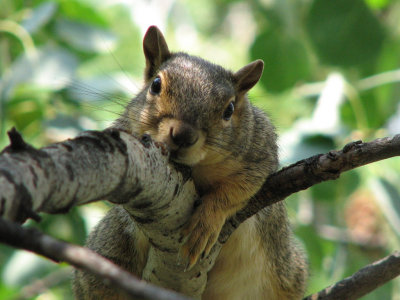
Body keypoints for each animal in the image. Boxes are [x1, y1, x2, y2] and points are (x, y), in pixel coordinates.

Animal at [73, 26, 308, 300]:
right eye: (155, 85)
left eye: (229, 110)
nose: (183, 135)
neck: (198, 168)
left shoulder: (260, 151)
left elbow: (237, 190)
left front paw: (206, 224)